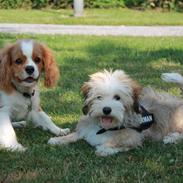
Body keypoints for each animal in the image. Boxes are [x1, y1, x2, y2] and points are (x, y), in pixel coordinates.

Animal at [48, 70, 183, 156]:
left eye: (117, 98)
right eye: (99, 97)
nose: (106, 109)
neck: (103, 128)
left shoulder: (134, 137)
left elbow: (119, 145)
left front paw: (105, 150)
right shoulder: (86, 128)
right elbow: (74, 135)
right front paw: (58, 139)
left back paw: (171, 137)